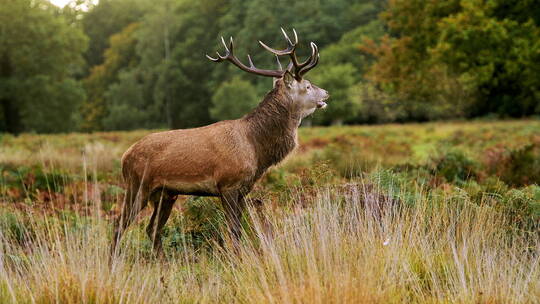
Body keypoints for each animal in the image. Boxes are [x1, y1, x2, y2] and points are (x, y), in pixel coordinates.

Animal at [111, 29, 326, 256]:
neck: (256, 149)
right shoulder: (228, 184)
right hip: (137, 185)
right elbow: (235, 230)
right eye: (308, 86)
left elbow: (241, 228)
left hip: (165, 194)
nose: (326, 93)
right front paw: (239, 259)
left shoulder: (243, 190)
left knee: (152, 229)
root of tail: (125, 156)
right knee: (119, 226)